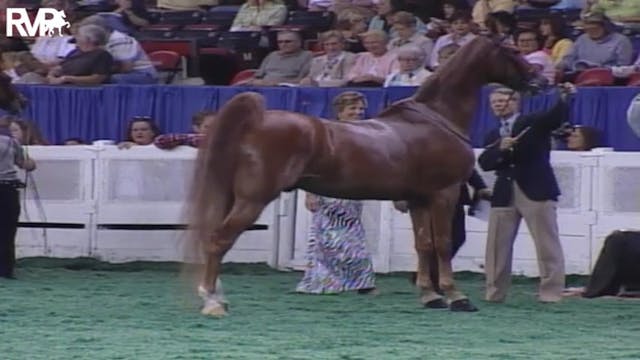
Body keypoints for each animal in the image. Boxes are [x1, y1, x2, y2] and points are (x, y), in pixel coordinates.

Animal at [186, 36, 540, 316]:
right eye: (511, 50)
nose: (537, 79)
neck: (437, 118)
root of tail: (256, 119)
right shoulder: (445, 194)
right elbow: (442, 243)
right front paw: (456, 297)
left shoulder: (418, 199)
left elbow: (423, 244)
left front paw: (430, 295)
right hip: (252, 199)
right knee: (218, 240)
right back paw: (211, 300)